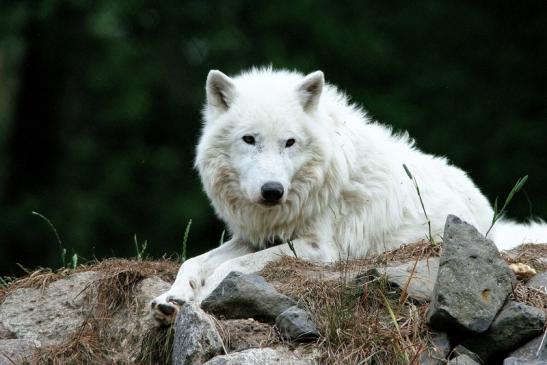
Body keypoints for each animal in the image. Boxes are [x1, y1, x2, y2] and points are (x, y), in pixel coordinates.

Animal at [151, 67, 547, 322]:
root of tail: (490, 217)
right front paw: (173, 297)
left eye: (289, 142)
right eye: (249, 139)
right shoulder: (254, 237)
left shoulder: (319, 247)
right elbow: (194, 262)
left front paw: (202, 295)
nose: (272, 191)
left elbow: (230, 267)